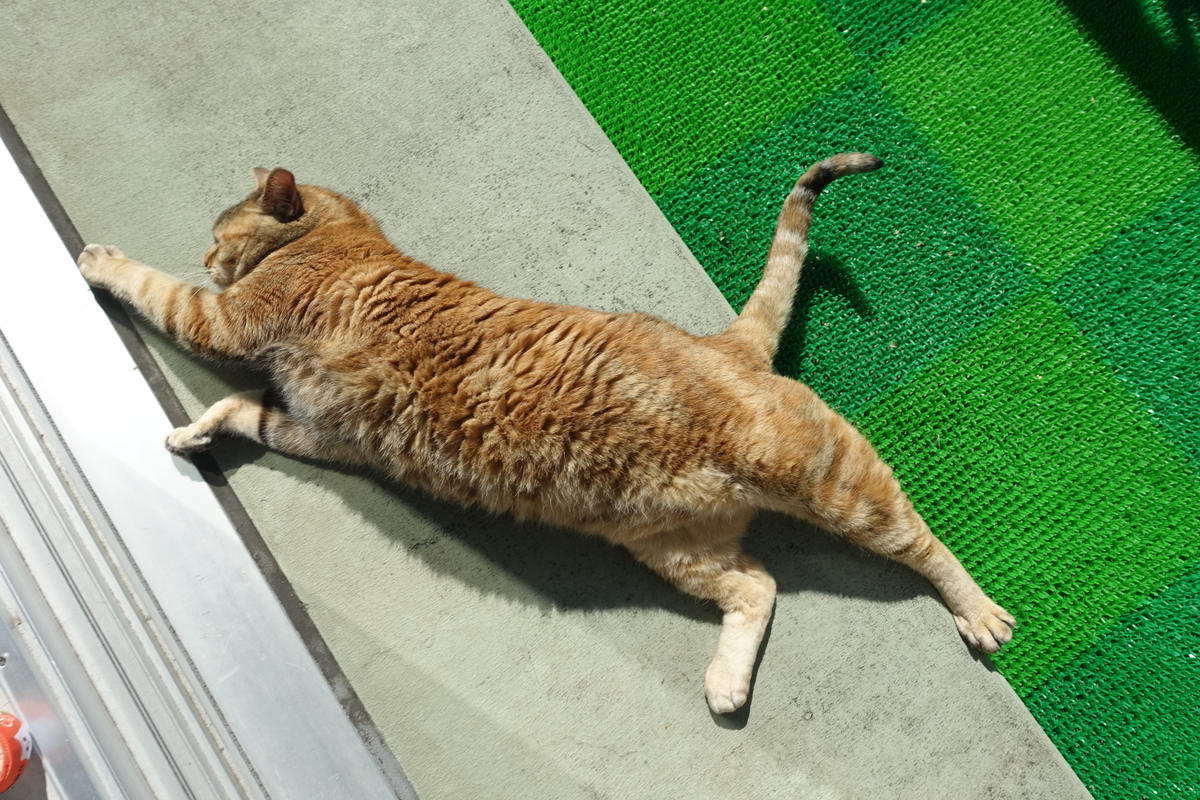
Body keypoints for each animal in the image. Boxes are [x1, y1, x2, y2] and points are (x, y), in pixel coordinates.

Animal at [77, 153, 1014, 714]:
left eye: (218, 235)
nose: (209, 254)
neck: (342, 239)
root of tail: (727, 342)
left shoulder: (230, 324)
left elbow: (155, 290)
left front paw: (100, 261)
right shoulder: (324, 430)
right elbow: (243, 410)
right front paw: (195, 432)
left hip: (833, 480)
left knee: (920, 542)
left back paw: (979, 615)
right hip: (678, 549)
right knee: (759, 588)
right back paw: (725, 683)